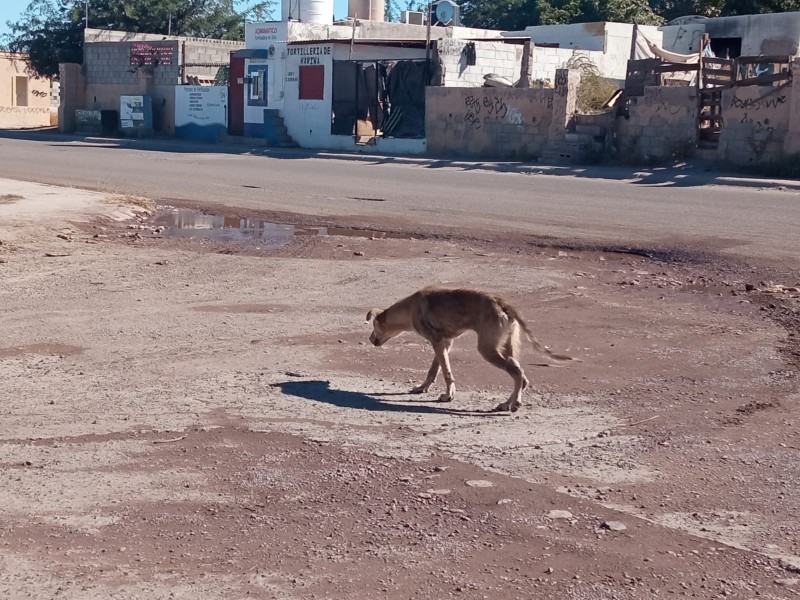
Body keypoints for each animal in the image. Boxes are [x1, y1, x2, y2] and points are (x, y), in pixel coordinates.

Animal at [366, 288, 572, 412]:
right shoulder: (444, 342)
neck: (410, 307)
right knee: (520, 375)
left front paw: (448, 395)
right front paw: (422, 388)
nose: (369, 339)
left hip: (487, 349)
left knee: (517, 372)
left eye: (374, 326)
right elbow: (434, 370)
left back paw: (513, 404)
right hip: (505, 346)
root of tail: (502, 302)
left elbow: (446, 372)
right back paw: (508, 403)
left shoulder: (437, 341)